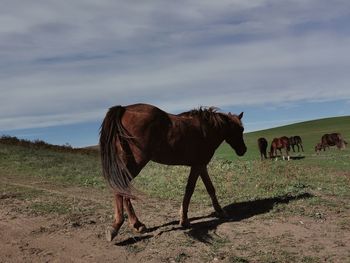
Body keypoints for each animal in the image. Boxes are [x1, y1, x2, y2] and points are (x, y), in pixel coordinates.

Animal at [98, 103, 247, 241]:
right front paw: (184, 220)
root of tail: (124, 108)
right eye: (240, 129)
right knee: (121, 189)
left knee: (123, 191)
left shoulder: (201, 165)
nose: (243, 150)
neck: (205, 130)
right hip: (135, 164)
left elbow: (210, 188)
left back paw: (137, 225)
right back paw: (116, 227)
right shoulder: (197, 165)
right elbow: (190, 189)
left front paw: (219, 210)